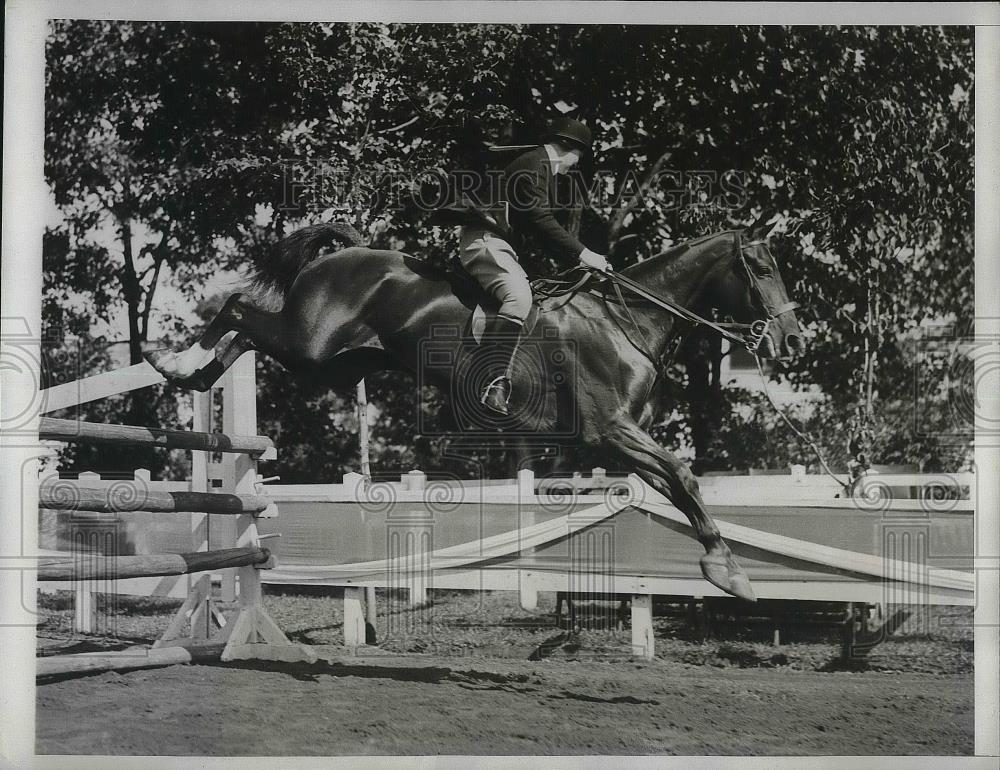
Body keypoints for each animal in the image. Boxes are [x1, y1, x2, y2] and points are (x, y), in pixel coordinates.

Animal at [145, 212, 804, 600]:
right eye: (761, 268)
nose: (793, 341)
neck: (626, 321)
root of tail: (340, 256)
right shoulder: (609, 431)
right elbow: (685, 476)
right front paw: (730, 571)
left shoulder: (624, 438)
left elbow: (678, 485)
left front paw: (723, 565)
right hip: (309, 345)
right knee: (237, 311)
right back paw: (173, 361)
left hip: (333, 362)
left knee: (246, 336)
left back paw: (193, 372)